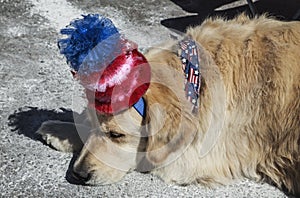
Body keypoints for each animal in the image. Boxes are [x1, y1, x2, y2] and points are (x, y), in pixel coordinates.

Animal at [37, 14, 300, 196]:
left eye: (116, 135)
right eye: (92, 126)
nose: (79, 173)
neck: (195, 76)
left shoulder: (202, 156)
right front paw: (58, 128)